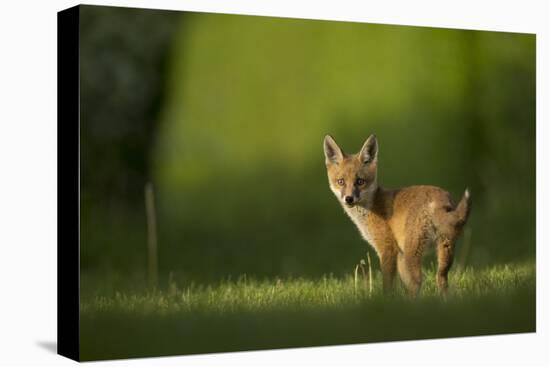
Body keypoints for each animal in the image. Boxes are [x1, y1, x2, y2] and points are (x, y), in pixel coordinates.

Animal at [326, 135, 472, 296]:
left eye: (360, 181)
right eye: (341, 182)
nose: (349, 199)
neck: (372, 205)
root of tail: (441, 198)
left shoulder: (387, 249)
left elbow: (388, 285)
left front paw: (386, 300)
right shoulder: (398, 255)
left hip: (410, 255)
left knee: (417, 281)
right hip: (443, 249)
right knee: (441, 279)